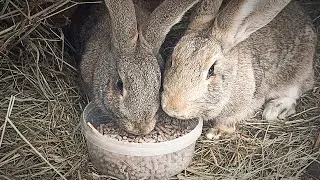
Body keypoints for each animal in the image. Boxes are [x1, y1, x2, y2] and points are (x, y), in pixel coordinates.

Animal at [161, 0, 316, 139]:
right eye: (172, 59)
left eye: (211, 70)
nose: (173, 108)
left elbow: (227, 123)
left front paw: (215, 132)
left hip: (295, 75)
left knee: (295, 94)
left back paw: (275, 109)